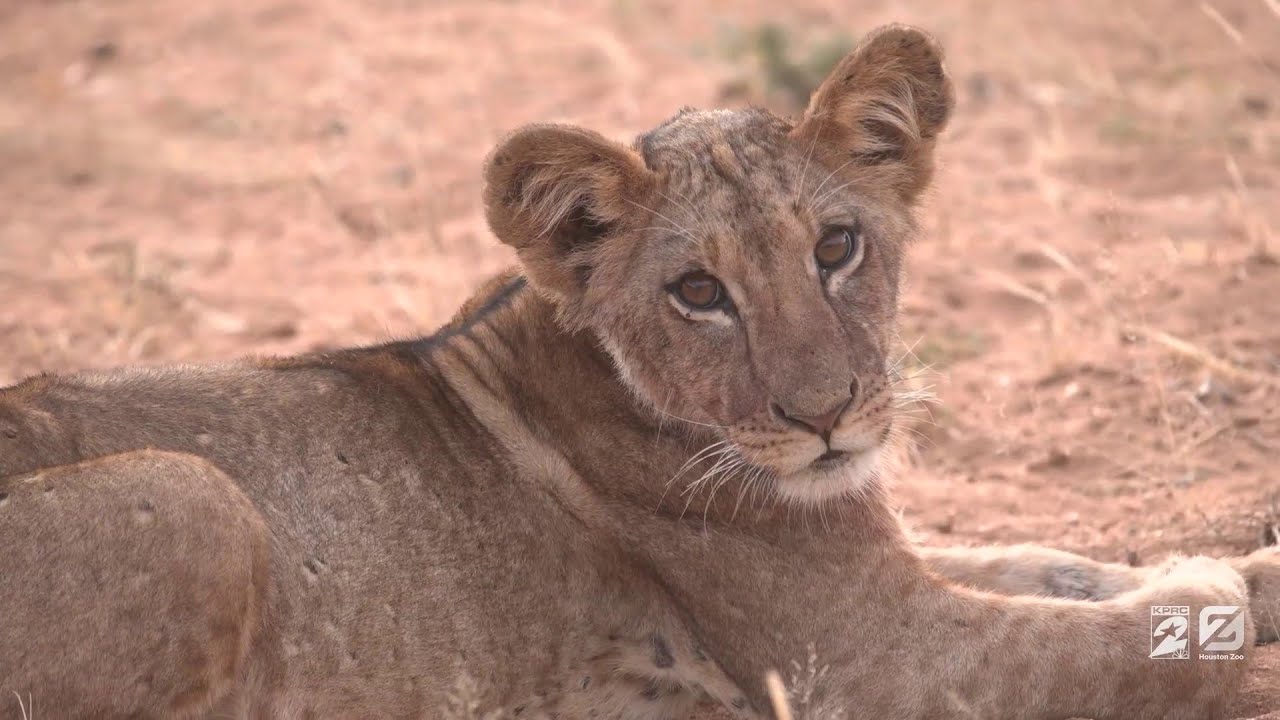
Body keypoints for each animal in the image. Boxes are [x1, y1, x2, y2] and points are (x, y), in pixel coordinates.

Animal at [1, 24, 1277, 720]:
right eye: (697, 292)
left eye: (835, 247)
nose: (825, 417)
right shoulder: (877, 665)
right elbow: (1118, 653)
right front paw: (1200, 598)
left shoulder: (883, 563)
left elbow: (1052, 562)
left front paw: (1229, 569)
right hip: (194, 496)